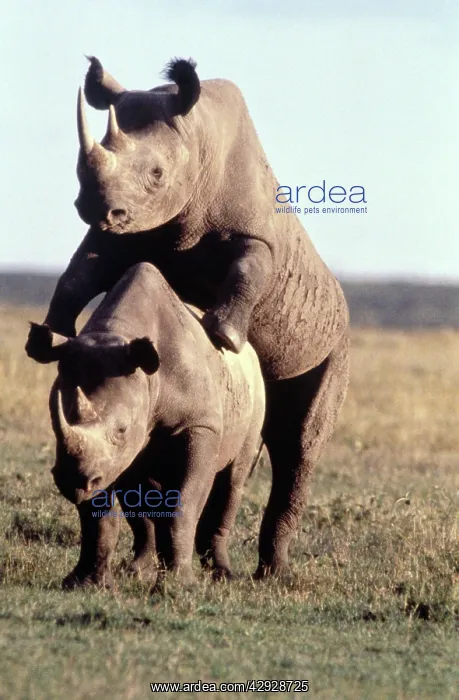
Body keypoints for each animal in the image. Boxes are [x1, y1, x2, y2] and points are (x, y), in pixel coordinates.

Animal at [26, 262, 265, 588]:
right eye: (54, 422)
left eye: (121, 430)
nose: (72, 480)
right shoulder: (107, 458)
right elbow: (99, 514)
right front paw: (83, 583)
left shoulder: (199, 425)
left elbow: (183, 504)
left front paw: (178, 585)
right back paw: (138, 570)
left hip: (255, 392)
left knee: (233, 479)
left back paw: (222, 575)